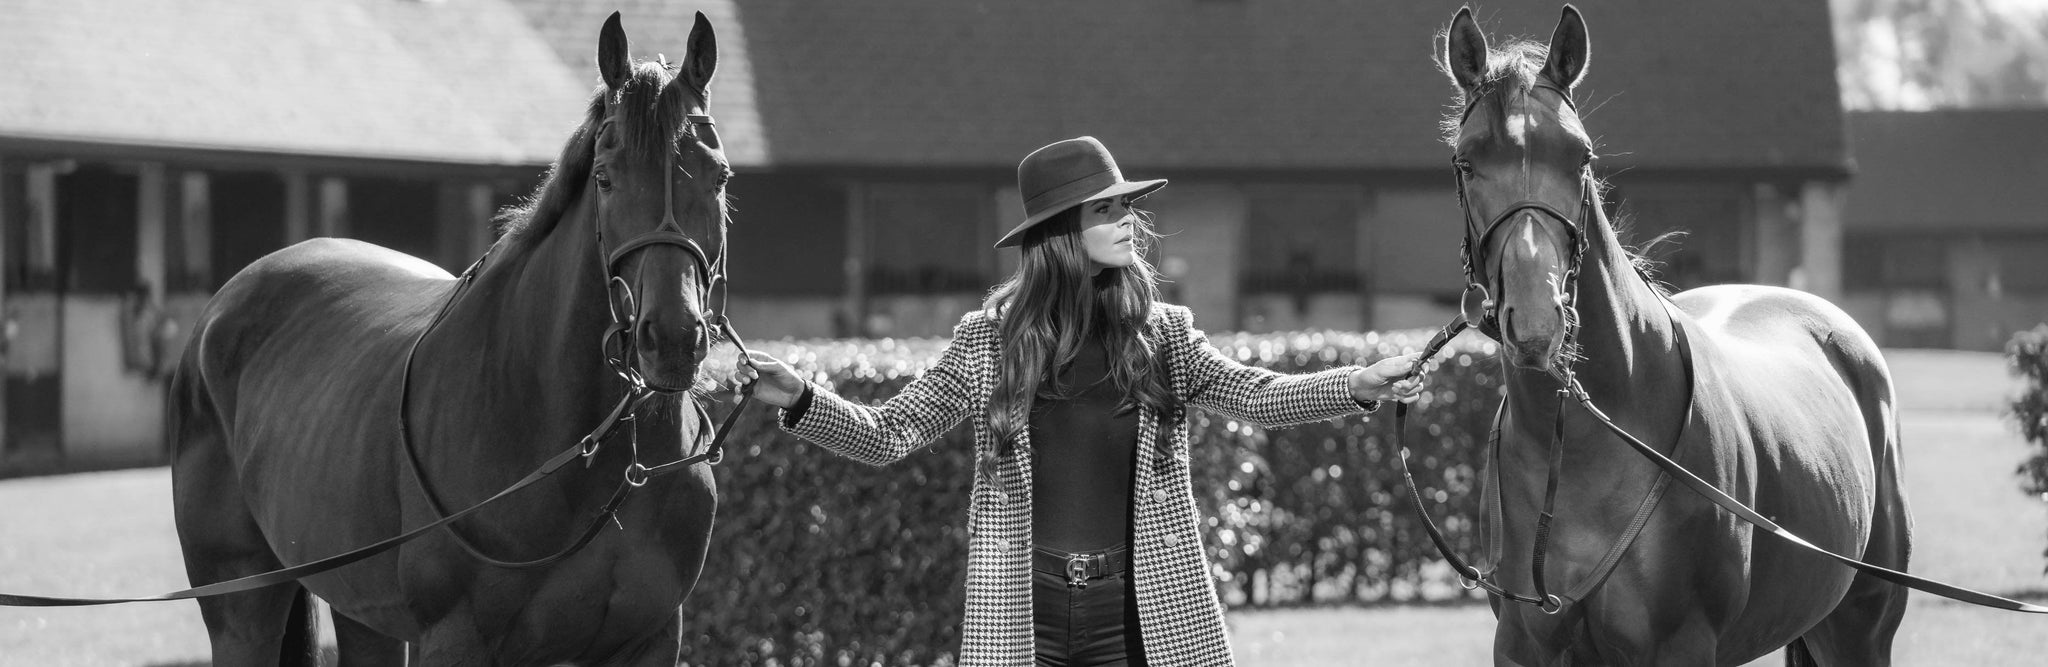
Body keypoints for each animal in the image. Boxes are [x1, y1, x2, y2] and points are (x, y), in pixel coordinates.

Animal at [174, 13, 737, 662]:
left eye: (719, 176)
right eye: (605, 178)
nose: (671, 338)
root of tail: (221, 310)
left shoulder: (650, 637)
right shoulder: (456, 637)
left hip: (365, 613)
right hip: (243, 607)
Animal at [1433, 6, 1908, 666]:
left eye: (1581, 157)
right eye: (1467, 161)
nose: (1536, 322)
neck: (1586, 446)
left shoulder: (1683, 644)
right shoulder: (1523, 642)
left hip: (1860, 627)